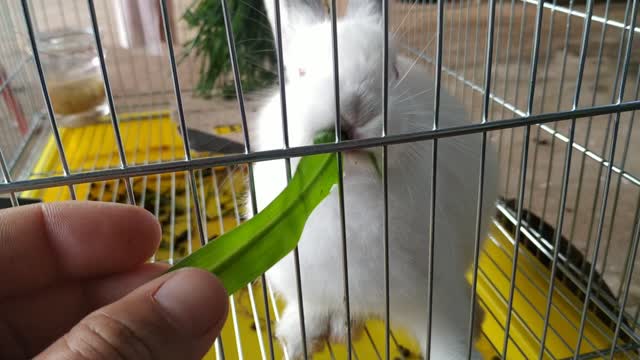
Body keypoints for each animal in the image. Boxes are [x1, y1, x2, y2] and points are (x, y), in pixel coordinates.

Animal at [245, 0, 500, 358]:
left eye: (392, 72)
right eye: (300, 74)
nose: (354, 112)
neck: (349, 194)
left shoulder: (436, 295)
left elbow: (449, 343)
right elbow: (312, 304)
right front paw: (298, 337)